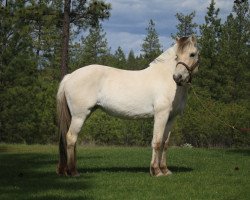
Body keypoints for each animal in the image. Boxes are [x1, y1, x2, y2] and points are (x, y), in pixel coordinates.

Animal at [56, 34, 199, 177]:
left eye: (192, 54)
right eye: (176, 56)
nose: (177, 77)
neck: (166, 79)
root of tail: (69, 76)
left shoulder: (171, 117)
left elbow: (165, 143)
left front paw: (165, 170)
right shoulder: (161, 115)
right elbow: (157, 142)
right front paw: (156, 171)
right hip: (79, 116)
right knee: (71, 138)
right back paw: (73, 171)